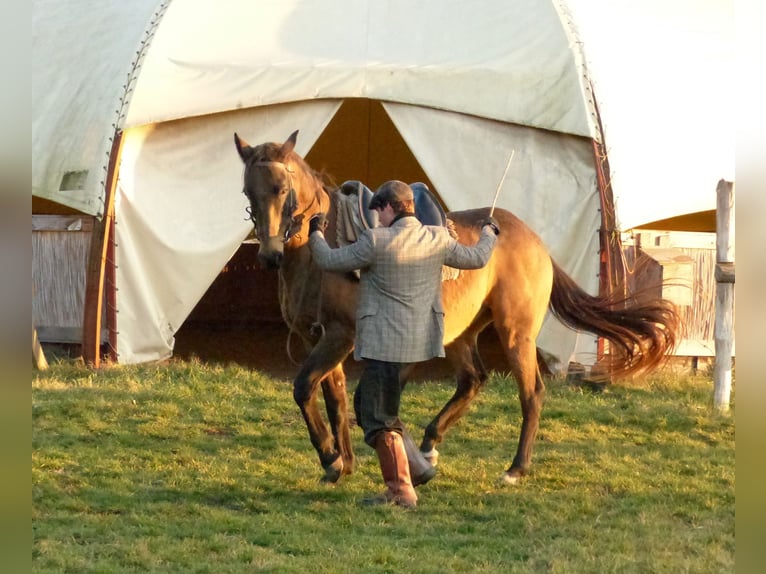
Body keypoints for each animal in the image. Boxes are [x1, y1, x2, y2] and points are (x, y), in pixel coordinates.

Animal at [234, 129, 680, 486]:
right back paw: (430, 443)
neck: (322, 251)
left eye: (282, 188)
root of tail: (533, 240)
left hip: (516, 334)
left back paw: (515, 468)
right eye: (248, 191)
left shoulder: (340, 337)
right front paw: (342, 463)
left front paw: (330, 458)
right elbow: (336, 399)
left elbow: (305, 387)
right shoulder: (322, 339)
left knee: (531, 392)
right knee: (472, 380)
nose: (269, 254)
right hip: (462, 333)